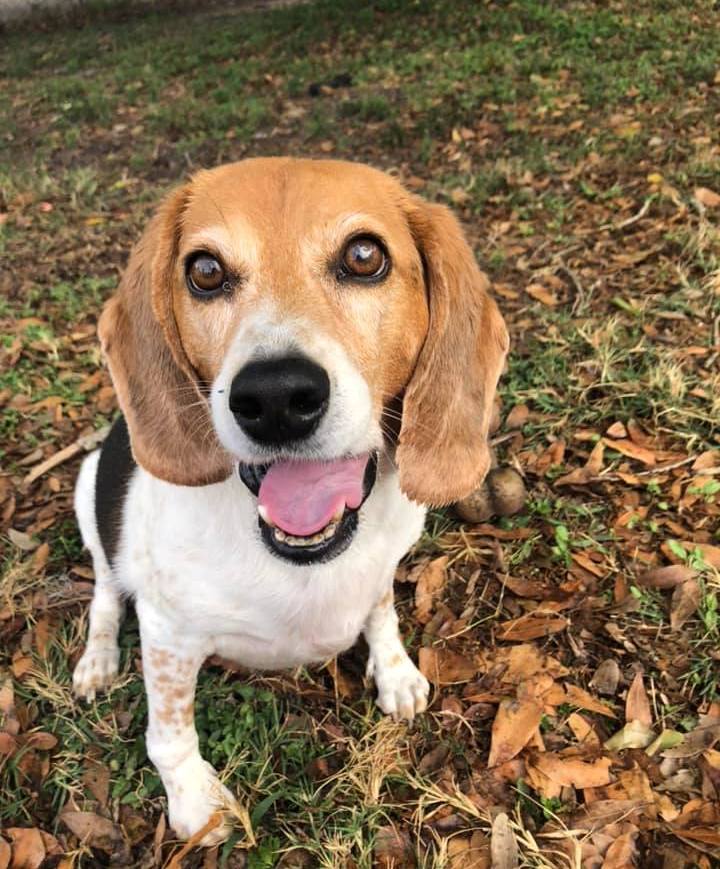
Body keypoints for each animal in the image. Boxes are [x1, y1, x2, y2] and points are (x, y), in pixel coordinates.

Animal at [73, 156, 510, 840]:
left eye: (364, 256)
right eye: (204, 271)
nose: (275, 397)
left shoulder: (381, 569)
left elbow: (382, 612)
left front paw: (394, 671)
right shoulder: (168, 636)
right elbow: (168, 732)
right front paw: (194, 801)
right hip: (88, 484)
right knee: (104, 593)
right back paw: (96, 659)